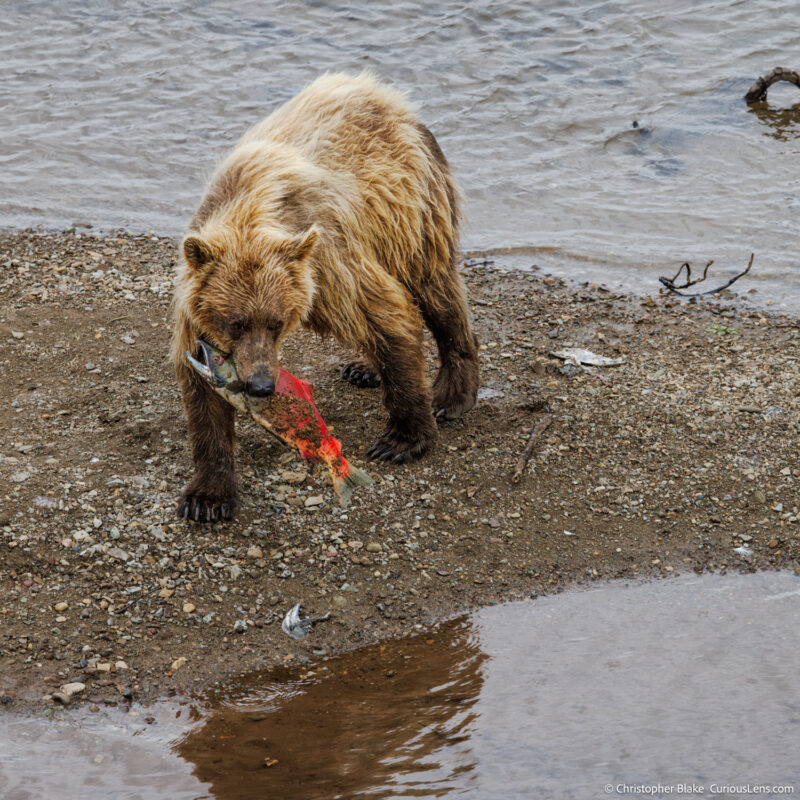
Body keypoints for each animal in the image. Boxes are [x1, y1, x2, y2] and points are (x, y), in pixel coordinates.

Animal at [172, 72, 478, 520]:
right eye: (236, 323)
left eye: (276, 322)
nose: (261, 385)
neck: (248, 208)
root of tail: (393, 99)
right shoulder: (197, 305)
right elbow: (201, 392)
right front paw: (207, 497)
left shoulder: (327, 259)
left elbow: (386, 312)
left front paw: (401, 440)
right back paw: (363, 368)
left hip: (411, 207)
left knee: (435, 289)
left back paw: (453, 393)